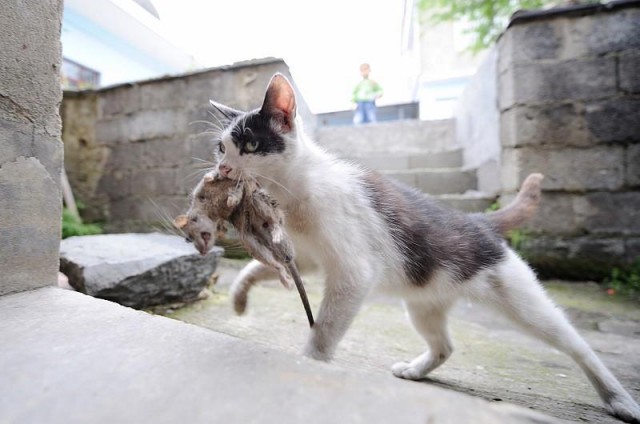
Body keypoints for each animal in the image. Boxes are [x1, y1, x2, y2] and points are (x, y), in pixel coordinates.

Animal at [205, 74, 640, 422]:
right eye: (221, 148)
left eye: (249, 145)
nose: (222, 169)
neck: (297, 190)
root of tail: (478, 221)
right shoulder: (311, 257)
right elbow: (261, 268)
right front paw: (240, 295)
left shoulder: (353, 272)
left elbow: (325, 328)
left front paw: (311, 362)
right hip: (423, 302)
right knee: (445, 345)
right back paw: (416, 370)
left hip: (520, 299)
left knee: (575, 343)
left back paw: (618, 399)